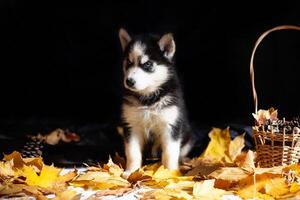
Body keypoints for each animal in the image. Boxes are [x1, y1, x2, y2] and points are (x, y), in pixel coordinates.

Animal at [118, 28, 193, 177]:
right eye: (128, 62)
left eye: (147, 64)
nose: (129, 81)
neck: (148, 99)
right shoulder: (131, 126)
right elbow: (132, 152)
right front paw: (131, 171)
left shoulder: (171, 126)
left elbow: (170, 153)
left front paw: (170, 173)